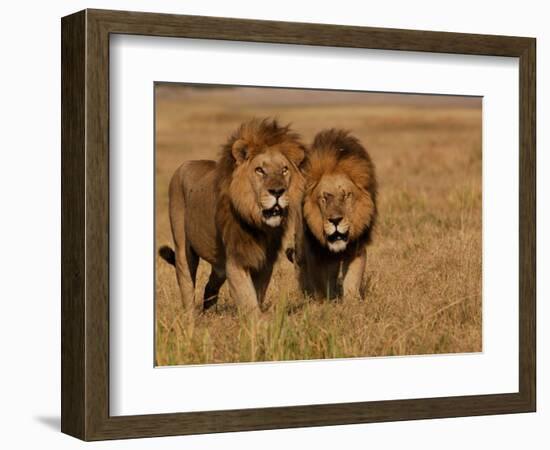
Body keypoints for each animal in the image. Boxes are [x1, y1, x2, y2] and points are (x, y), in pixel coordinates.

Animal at [158, 119, 306, 316]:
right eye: (260, 170)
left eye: (284, 170)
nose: (277, 192)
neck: (258, 224)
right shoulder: (235, 261)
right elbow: (248, 300)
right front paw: (258, 323)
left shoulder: (265, 262)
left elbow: (257, 296)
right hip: (183, 248)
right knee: (187, 285)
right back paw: (191, 318)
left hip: (219, 264)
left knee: (210, 287)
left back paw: (209, 315)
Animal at [294, 128, 380, 300]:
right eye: (324, 197)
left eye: (346, 195)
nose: (335, 220)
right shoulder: (316, 251)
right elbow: (320, 281)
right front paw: (323, 302)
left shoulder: (356, 247)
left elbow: (353, 279)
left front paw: (352, 302)